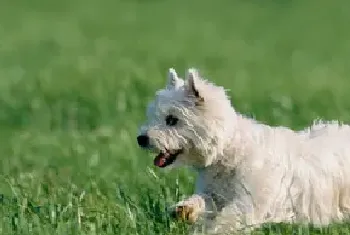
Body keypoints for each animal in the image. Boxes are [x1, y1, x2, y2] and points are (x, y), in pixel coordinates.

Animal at [137, 67, 350, 233]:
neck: (228, 152)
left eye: (172, 120)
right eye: (153, 116)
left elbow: (227, 220)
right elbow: (202, 201)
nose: (141, 139)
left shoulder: (249, 201)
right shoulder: (214, 194)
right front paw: (183, 209)